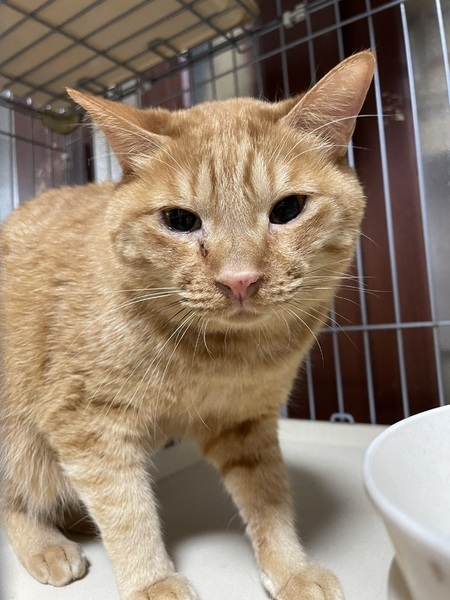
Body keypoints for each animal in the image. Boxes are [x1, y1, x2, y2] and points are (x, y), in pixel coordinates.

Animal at [0, 51, 375, 600]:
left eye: (287, 209)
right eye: (179, 220)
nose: (240, 280)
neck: (217, 355)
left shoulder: (246, 421)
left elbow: (270, 499)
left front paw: (290, 568)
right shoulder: (87, 423)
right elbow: (126, 508)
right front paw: (151, 580)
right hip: (16, 434)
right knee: (14, 496)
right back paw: (45, 543)